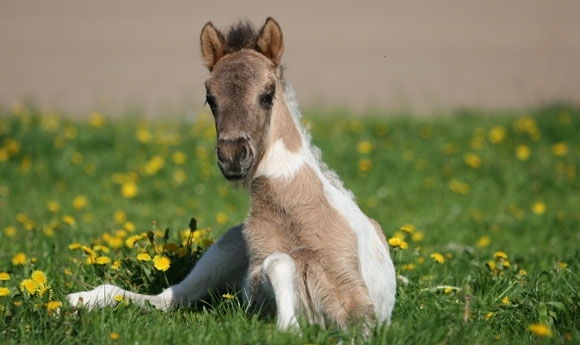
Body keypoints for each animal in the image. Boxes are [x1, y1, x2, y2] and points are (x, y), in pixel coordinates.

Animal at [65, 16, 396, 330]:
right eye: (210, 99)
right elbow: (277, 264)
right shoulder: (256, 292)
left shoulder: (359, 302)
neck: (294, 211)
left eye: (268, 94)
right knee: (168, 298)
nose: (232, 158)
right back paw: (78, 300)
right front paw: (289, 325)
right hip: (224, 247)